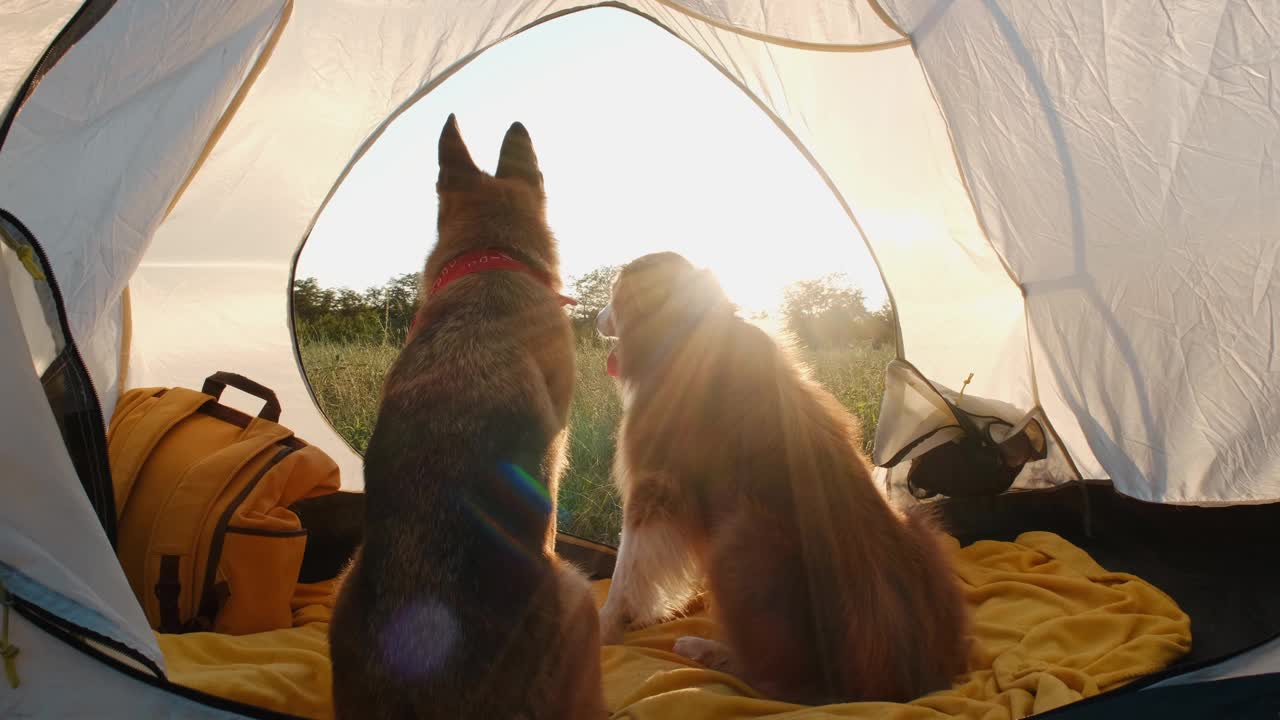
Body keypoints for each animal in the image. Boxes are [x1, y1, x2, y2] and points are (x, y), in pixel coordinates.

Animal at [593, 251, 962, 702]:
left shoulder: (653, 485)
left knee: (776, 683)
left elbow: (625, 568)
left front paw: (607, 626)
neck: (683, 328)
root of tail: (911, 681)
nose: (596, 316)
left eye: (615, 292)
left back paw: (711, 652)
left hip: (739, 537)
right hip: (918, 525)